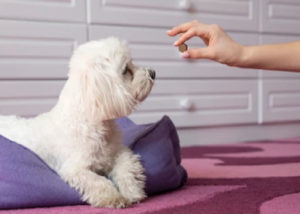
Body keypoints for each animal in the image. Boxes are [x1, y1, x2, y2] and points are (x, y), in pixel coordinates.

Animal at [0, 36, 156, 207]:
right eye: (125, 70)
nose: (153, 73)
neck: (96, 125)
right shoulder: (75, 169)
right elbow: (98, 181)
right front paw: (113, 198)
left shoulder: (117, 152)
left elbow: (126, 165)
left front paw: (132, 190)